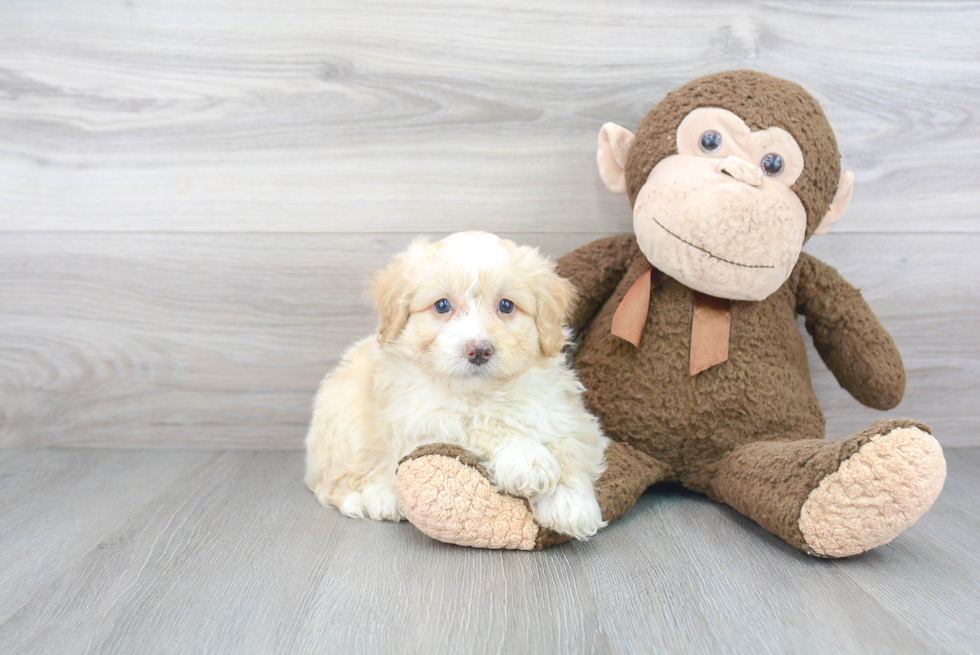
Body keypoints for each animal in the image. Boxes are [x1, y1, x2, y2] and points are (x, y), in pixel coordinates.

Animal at [302, 233, 608, 540]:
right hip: (344, 417)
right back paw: (378, 498)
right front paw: (527, 460)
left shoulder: (565, 411)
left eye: (506, 306)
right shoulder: (424, 417)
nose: (479, 350)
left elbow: (570, 444)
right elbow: (479, 423)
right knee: (336, 477)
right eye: (442, 306)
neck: (482, 393)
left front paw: (570, 503)